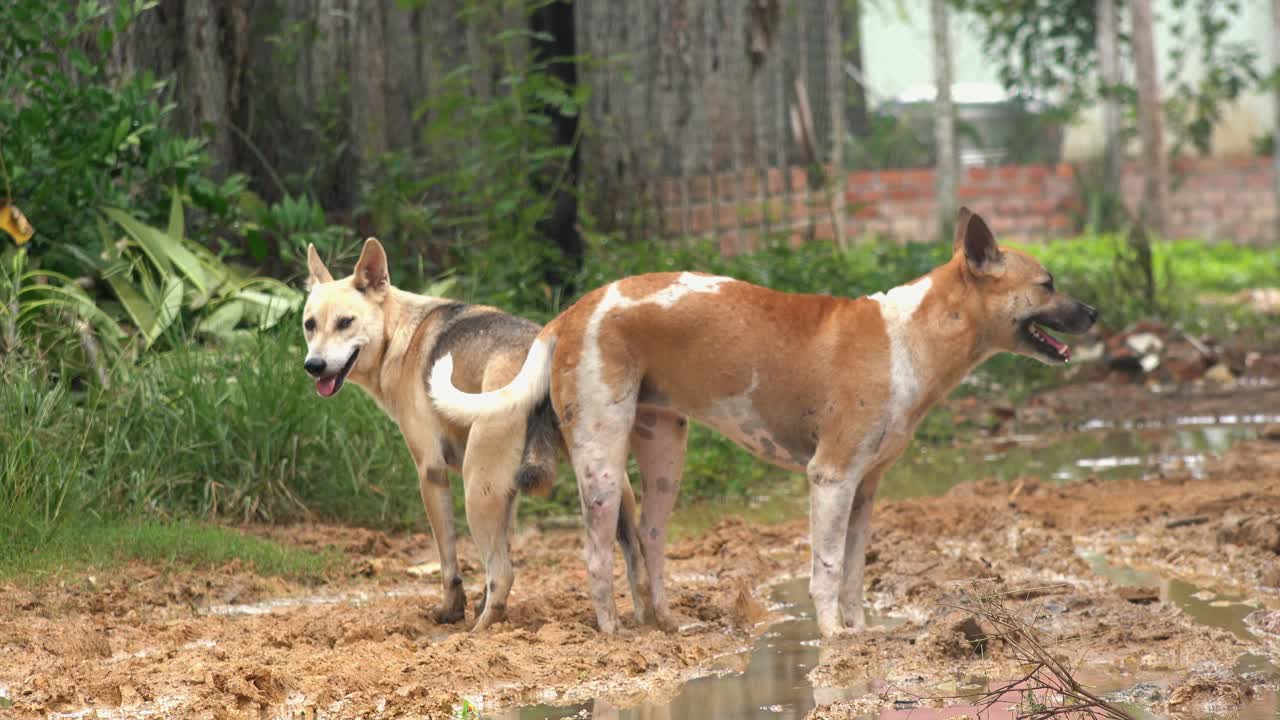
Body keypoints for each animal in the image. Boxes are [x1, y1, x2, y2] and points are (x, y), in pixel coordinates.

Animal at [300, 238, 655, 625]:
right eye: (309, 325)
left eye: (345, 323)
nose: (313, 365)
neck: (400, 334)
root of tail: (543, 348)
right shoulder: (508, 493)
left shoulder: (432, 474)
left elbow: (449, 562)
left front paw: (452, 610)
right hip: (606, 485)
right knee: (636, 561)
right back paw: (641, 624)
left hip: (477, 489)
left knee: (503, 574)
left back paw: (479, 632)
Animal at [424, 207, 1095, 632]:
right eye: (1047, 284)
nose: (1094, 313)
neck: (910, 335)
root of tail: (569, 314)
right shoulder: (831, 479)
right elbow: (826, 571)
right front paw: (833, 638)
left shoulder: (866, 491)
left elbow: (854, 573)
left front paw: (861, 633)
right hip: (601, 469)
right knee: (595, 557)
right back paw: (615, 637)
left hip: (663, 461)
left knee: (650, 543)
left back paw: (666, 628)